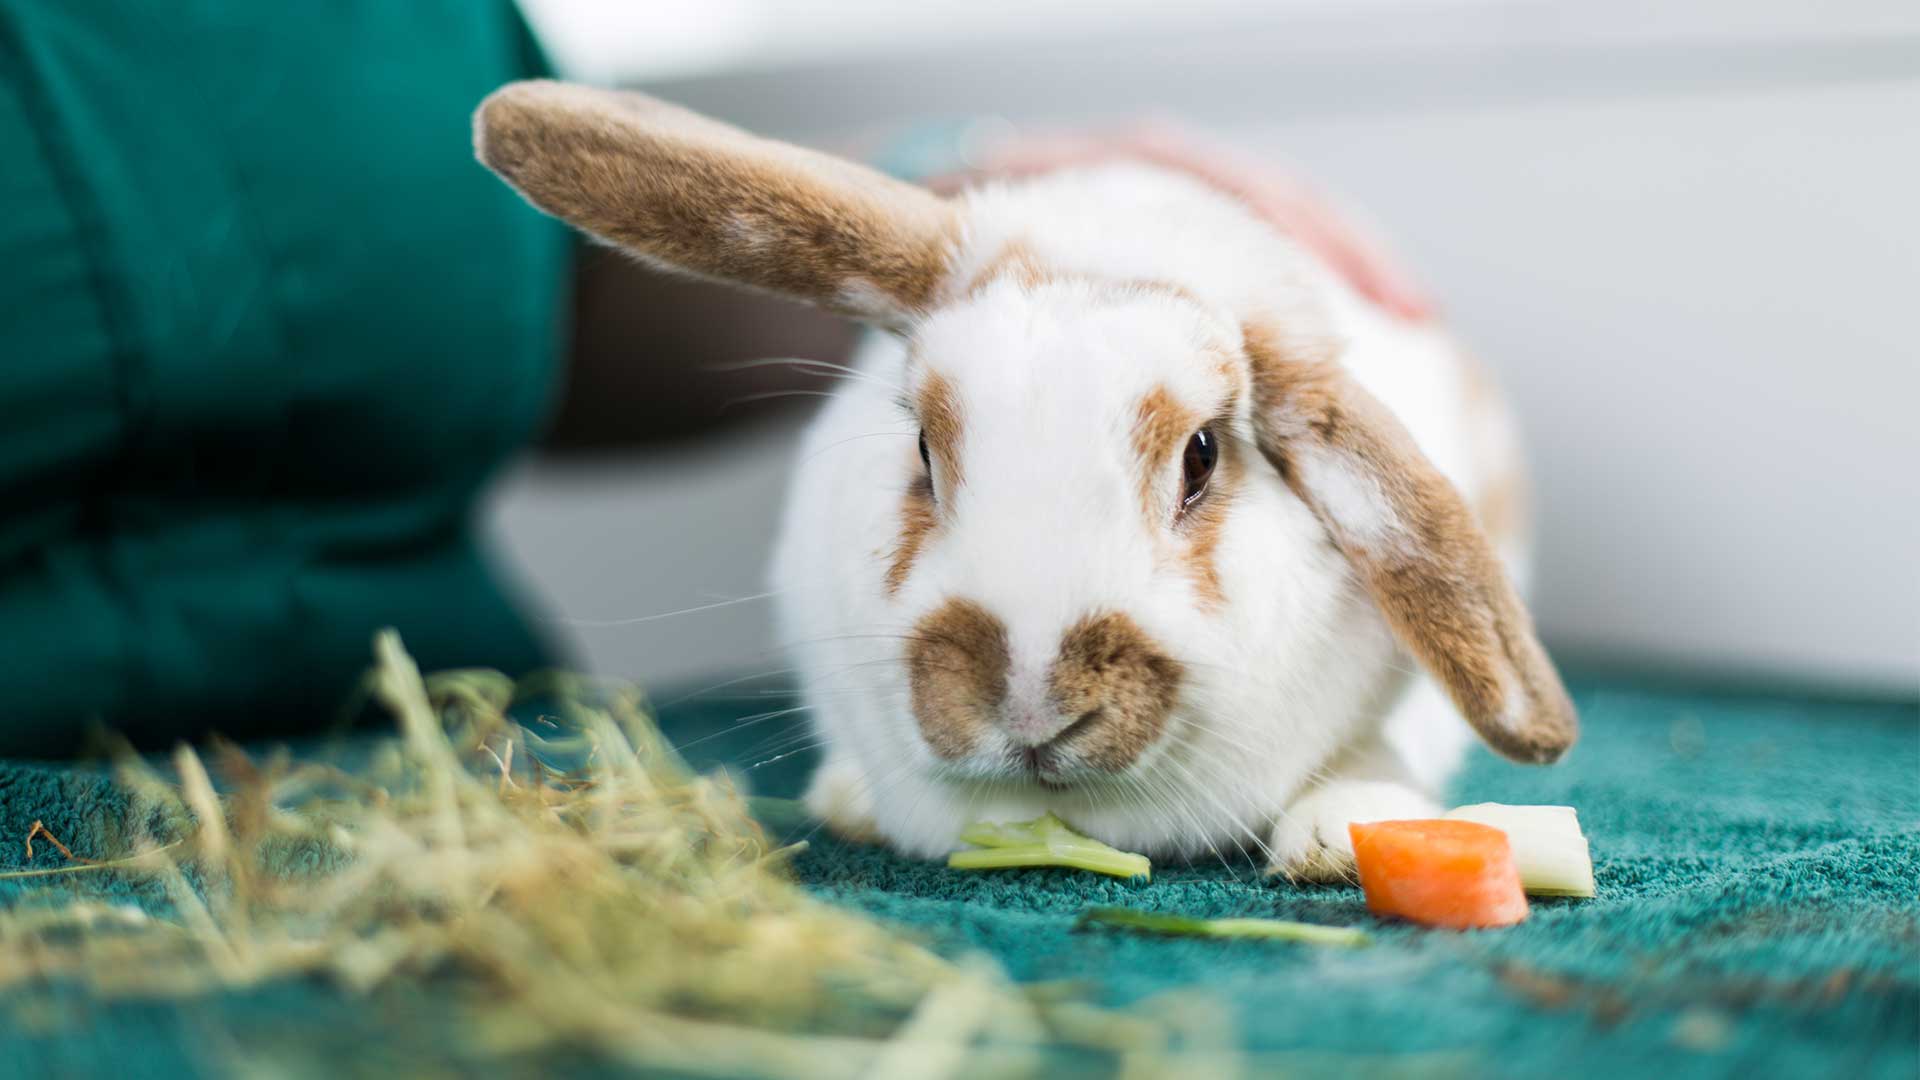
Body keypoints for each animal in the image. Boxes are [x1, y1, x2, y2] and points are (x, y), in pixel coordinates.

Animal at [474, 81, 1577, 880]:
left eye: (1201, 456)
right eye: (923, 448)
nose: (1028, 708)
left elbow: (1378, 754)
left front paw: (1334, 836)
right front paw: (849, 798)